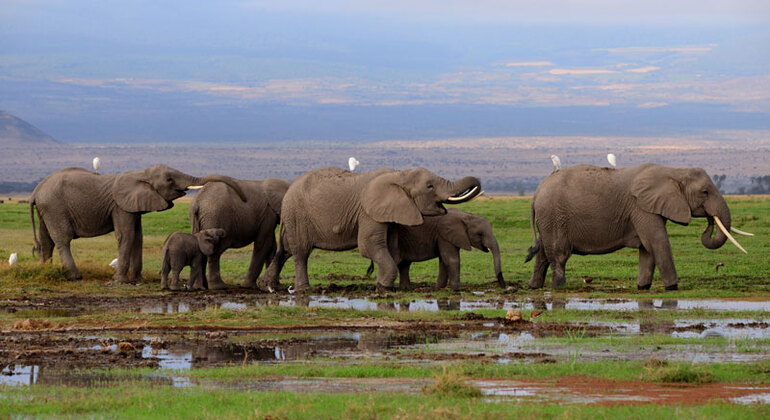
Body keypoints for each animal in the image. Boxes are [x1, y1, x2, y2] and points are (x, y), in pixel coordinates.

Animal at [29, 164, 246, 282]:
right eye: (169, 179)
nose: (244, 199)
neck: (141, 173)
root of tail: (36, 191)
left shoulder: (134, 206)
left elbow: (138, 236)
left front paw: (138, 280)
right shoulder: (120, 206)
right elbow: (126, 235)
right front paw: (120, 281)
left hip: (46, 209)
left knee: (46, 240)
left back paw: (45, 269)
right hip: (55, 206)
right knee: (62, 239)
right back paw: (75, 276)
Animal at [260, 167, 484, 292]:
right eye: (429, 187)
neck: (398, 174)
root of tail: (289, 190)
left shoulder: (390, 213)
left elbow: (391, 248)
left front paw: (382, 285)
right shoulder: (368, 211)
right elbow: (369, 246)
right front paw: (384, 288)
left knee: (286, 250)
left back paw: (268, 287)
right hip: (297, 215)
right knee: (300, 253)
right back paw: (303, 290)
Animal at [366, 208, 504, 292]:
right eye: (480, 234)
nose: (504, 286)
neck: (466, 216)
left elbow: (444, 261)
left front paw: (439, 288)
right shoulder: (444, 235)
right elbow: (452, 259)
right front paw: (456, 290)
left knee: (404, 264)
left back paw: (406, 289)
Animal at [520, 162, 752, 290]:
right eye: (704, 192)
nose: (710, 221)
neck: (674, 171)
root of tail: (536, 194)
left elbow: (647, 250)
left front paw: (643, 287)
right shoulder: (641, 207)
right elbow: (657, 243)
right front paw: (673, 287)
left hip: (548, 219)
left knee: (543, 253)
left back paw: (534, 287)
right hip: (554, 216)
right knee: (559, 255)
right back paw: (559, 287)